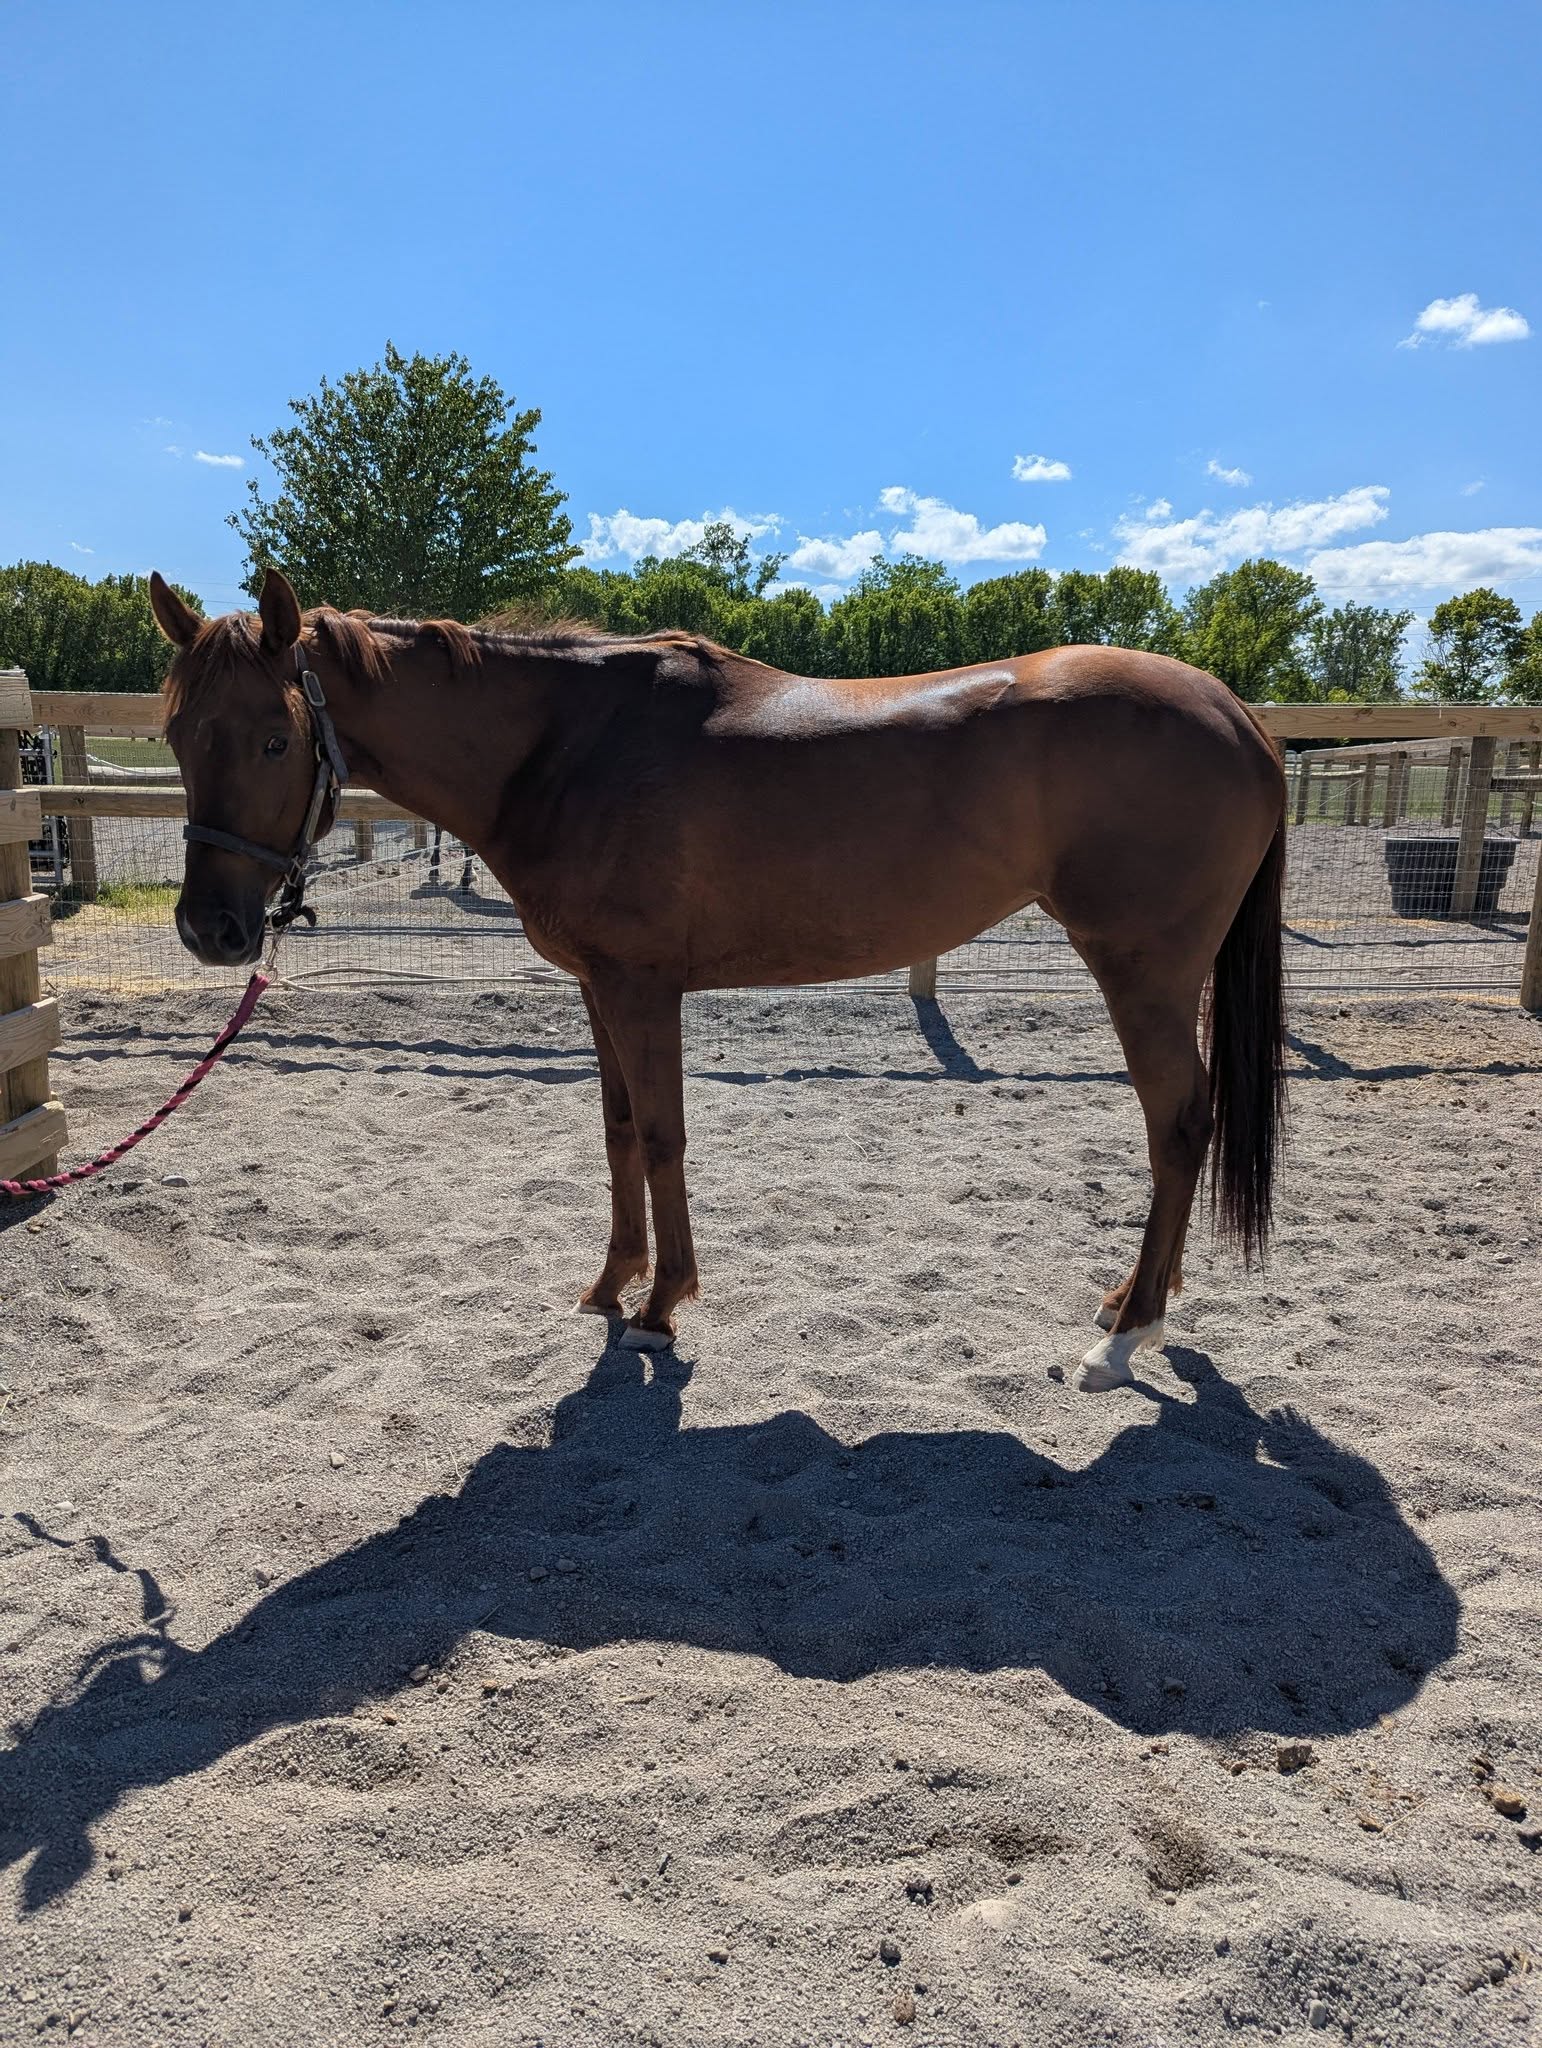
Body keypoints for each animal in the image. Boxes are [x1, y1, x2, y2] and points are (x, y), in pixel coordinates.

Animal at [150, 567, 1286, 1393]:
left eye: (276, 737)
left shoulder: (643, 986)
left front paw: (661, 1308)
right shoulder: (598, 987)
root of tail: (1238, 714)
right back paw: (1132, 1300)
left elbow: (662, 1135)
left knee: (1178, 1122)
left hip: (1141, 969)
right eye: (174, 736)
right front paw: (610, 1285)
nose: (211, 929)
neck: (567, 744)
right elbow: (616, 1133)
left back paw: (1124, 1337)